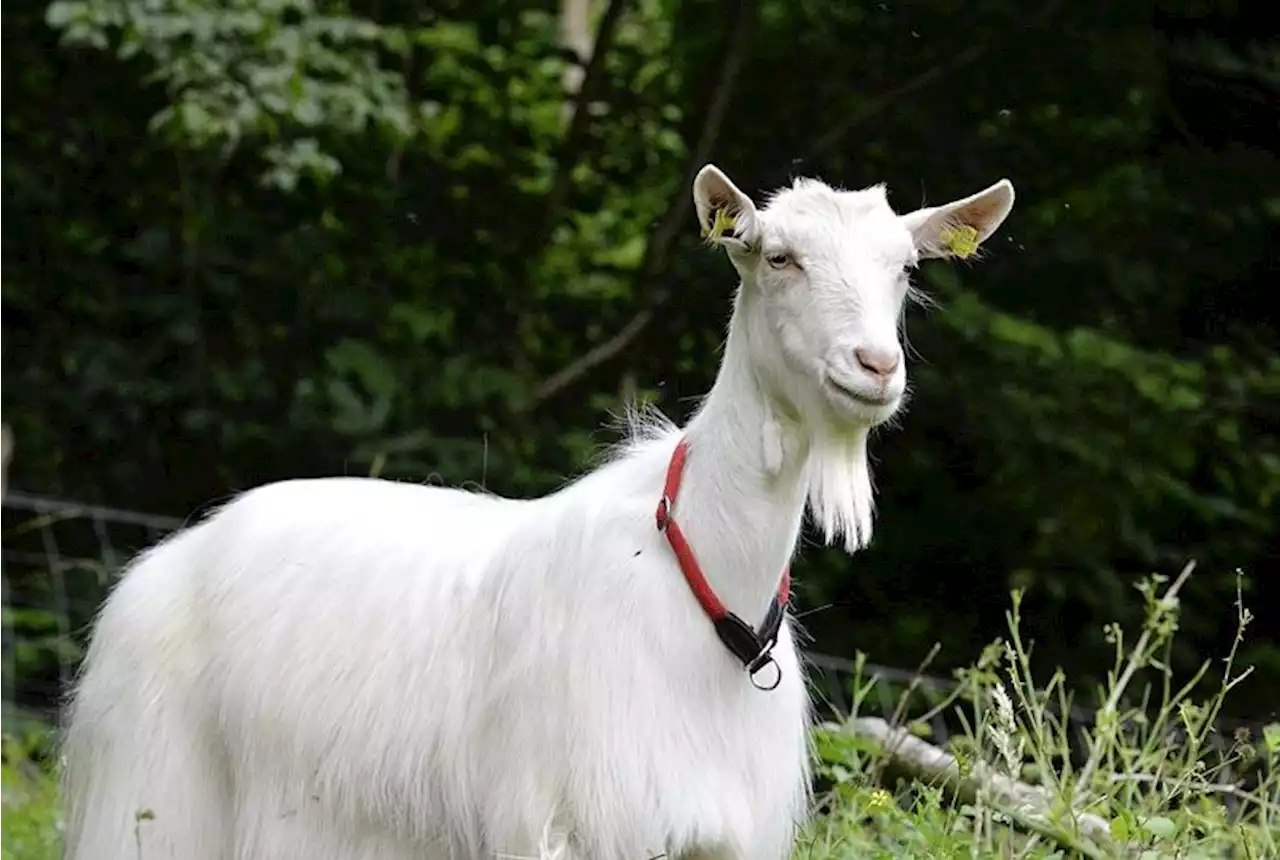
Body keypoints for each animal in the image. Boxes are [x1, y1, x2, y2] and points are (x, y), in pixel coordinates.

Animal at [60, 163, 1013, 860]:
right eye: (777, 256)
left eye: (905, 268)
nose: (874, 366)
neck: (704, 581)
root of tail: (166, 562)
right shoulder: (572, 822)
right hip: (151, 796)